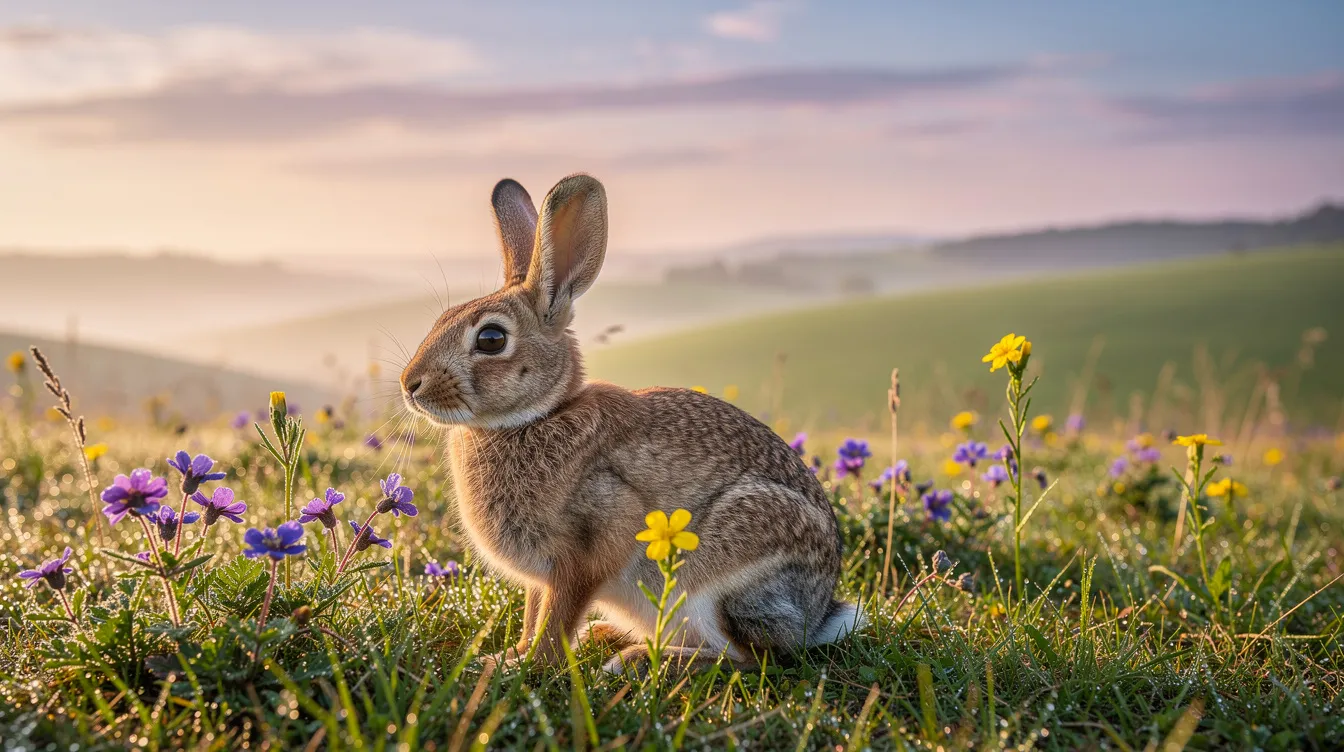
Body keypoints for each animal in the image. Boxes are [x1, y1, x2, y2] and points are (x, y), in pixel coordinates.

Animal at [400, 174, 864, 673]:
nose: (410, 384)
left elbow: (557, 616)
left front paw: (526, 666)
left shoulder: (591, 543)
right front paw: (510, 654)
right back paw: (608, 636)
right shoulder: (540, 577)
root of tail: (816, 614)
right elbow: (533, 613)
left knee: (747, 657)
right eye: (441, 319)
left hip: (716, 575)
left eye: (491, 338)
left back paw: (636, 660)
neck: (539, 415)